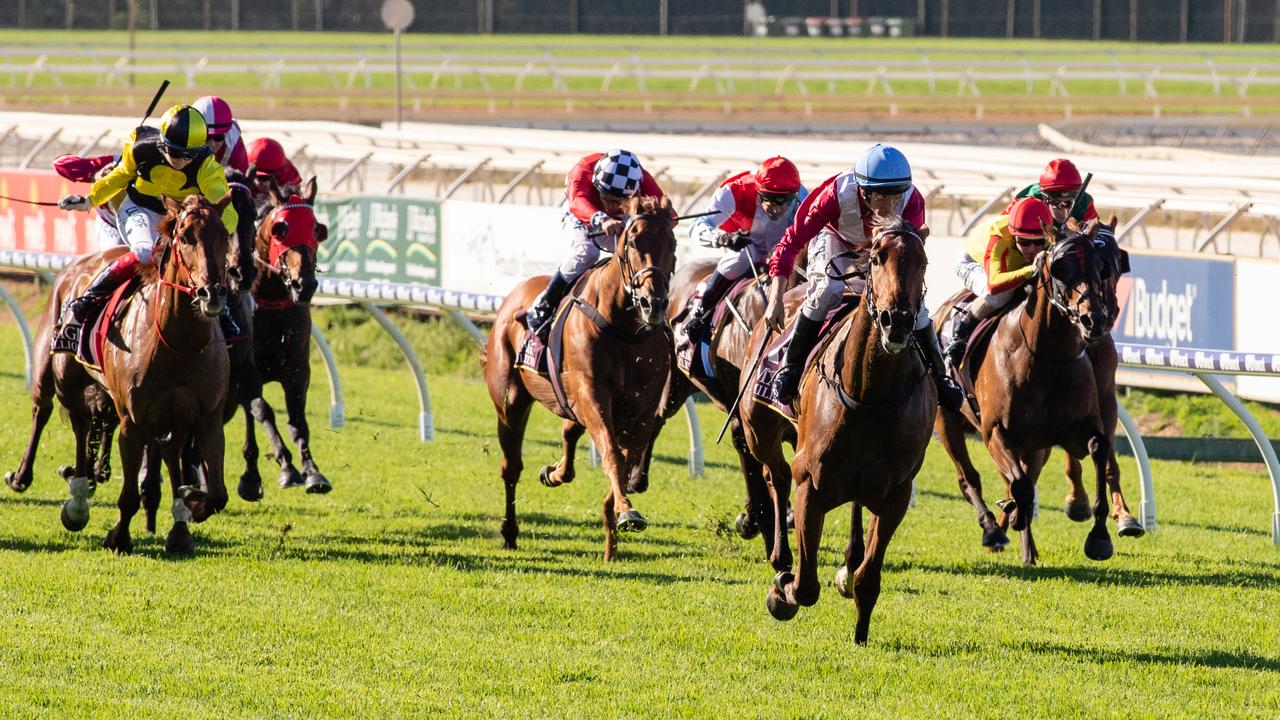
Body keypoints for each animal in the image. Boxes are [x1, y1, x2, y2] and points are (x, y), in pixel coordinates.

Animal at [481, 196, 680, 561]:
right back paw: (510, 531)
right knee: (511, 465)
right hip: (510, 401)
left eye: (671, 244)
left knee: (568, 431)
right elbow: (613, 454)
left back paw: (556, 473)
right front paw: (626, 512)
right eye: (632, 242)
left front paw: (614, 523)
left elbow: (624, 458)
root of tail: (514, 295)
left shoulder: (641, 410)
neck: (623, 328)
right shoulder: (592, 394)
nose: (653, 304)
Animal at [737, 215, 936, 640]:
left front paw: (860, 632)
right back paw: (780, 555)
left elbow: (868, 579)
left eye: (925, 262)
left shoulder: (896, 494)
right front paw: (781, 593)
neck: (869, 395)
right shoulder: (811, 483)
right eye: (877, 258)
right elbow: (805, 587)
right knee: (776, 474)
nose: (898, 321)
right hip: (758, 430)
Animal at [936, 221, 1116, 563]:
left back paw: (1026, 548)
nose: (1094, 320)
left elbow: (1099, 449)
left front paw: (1099, 536)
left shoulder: (1075, 430)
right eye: (1059, 267)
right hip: (947, 419)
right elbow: (1019, 485)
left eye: (1100, 265)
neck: (1046, 355)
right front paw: (1013, 516)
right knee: (970, 478)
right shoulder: (995, 431)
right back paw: (993, 530)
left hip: (1035, 446)